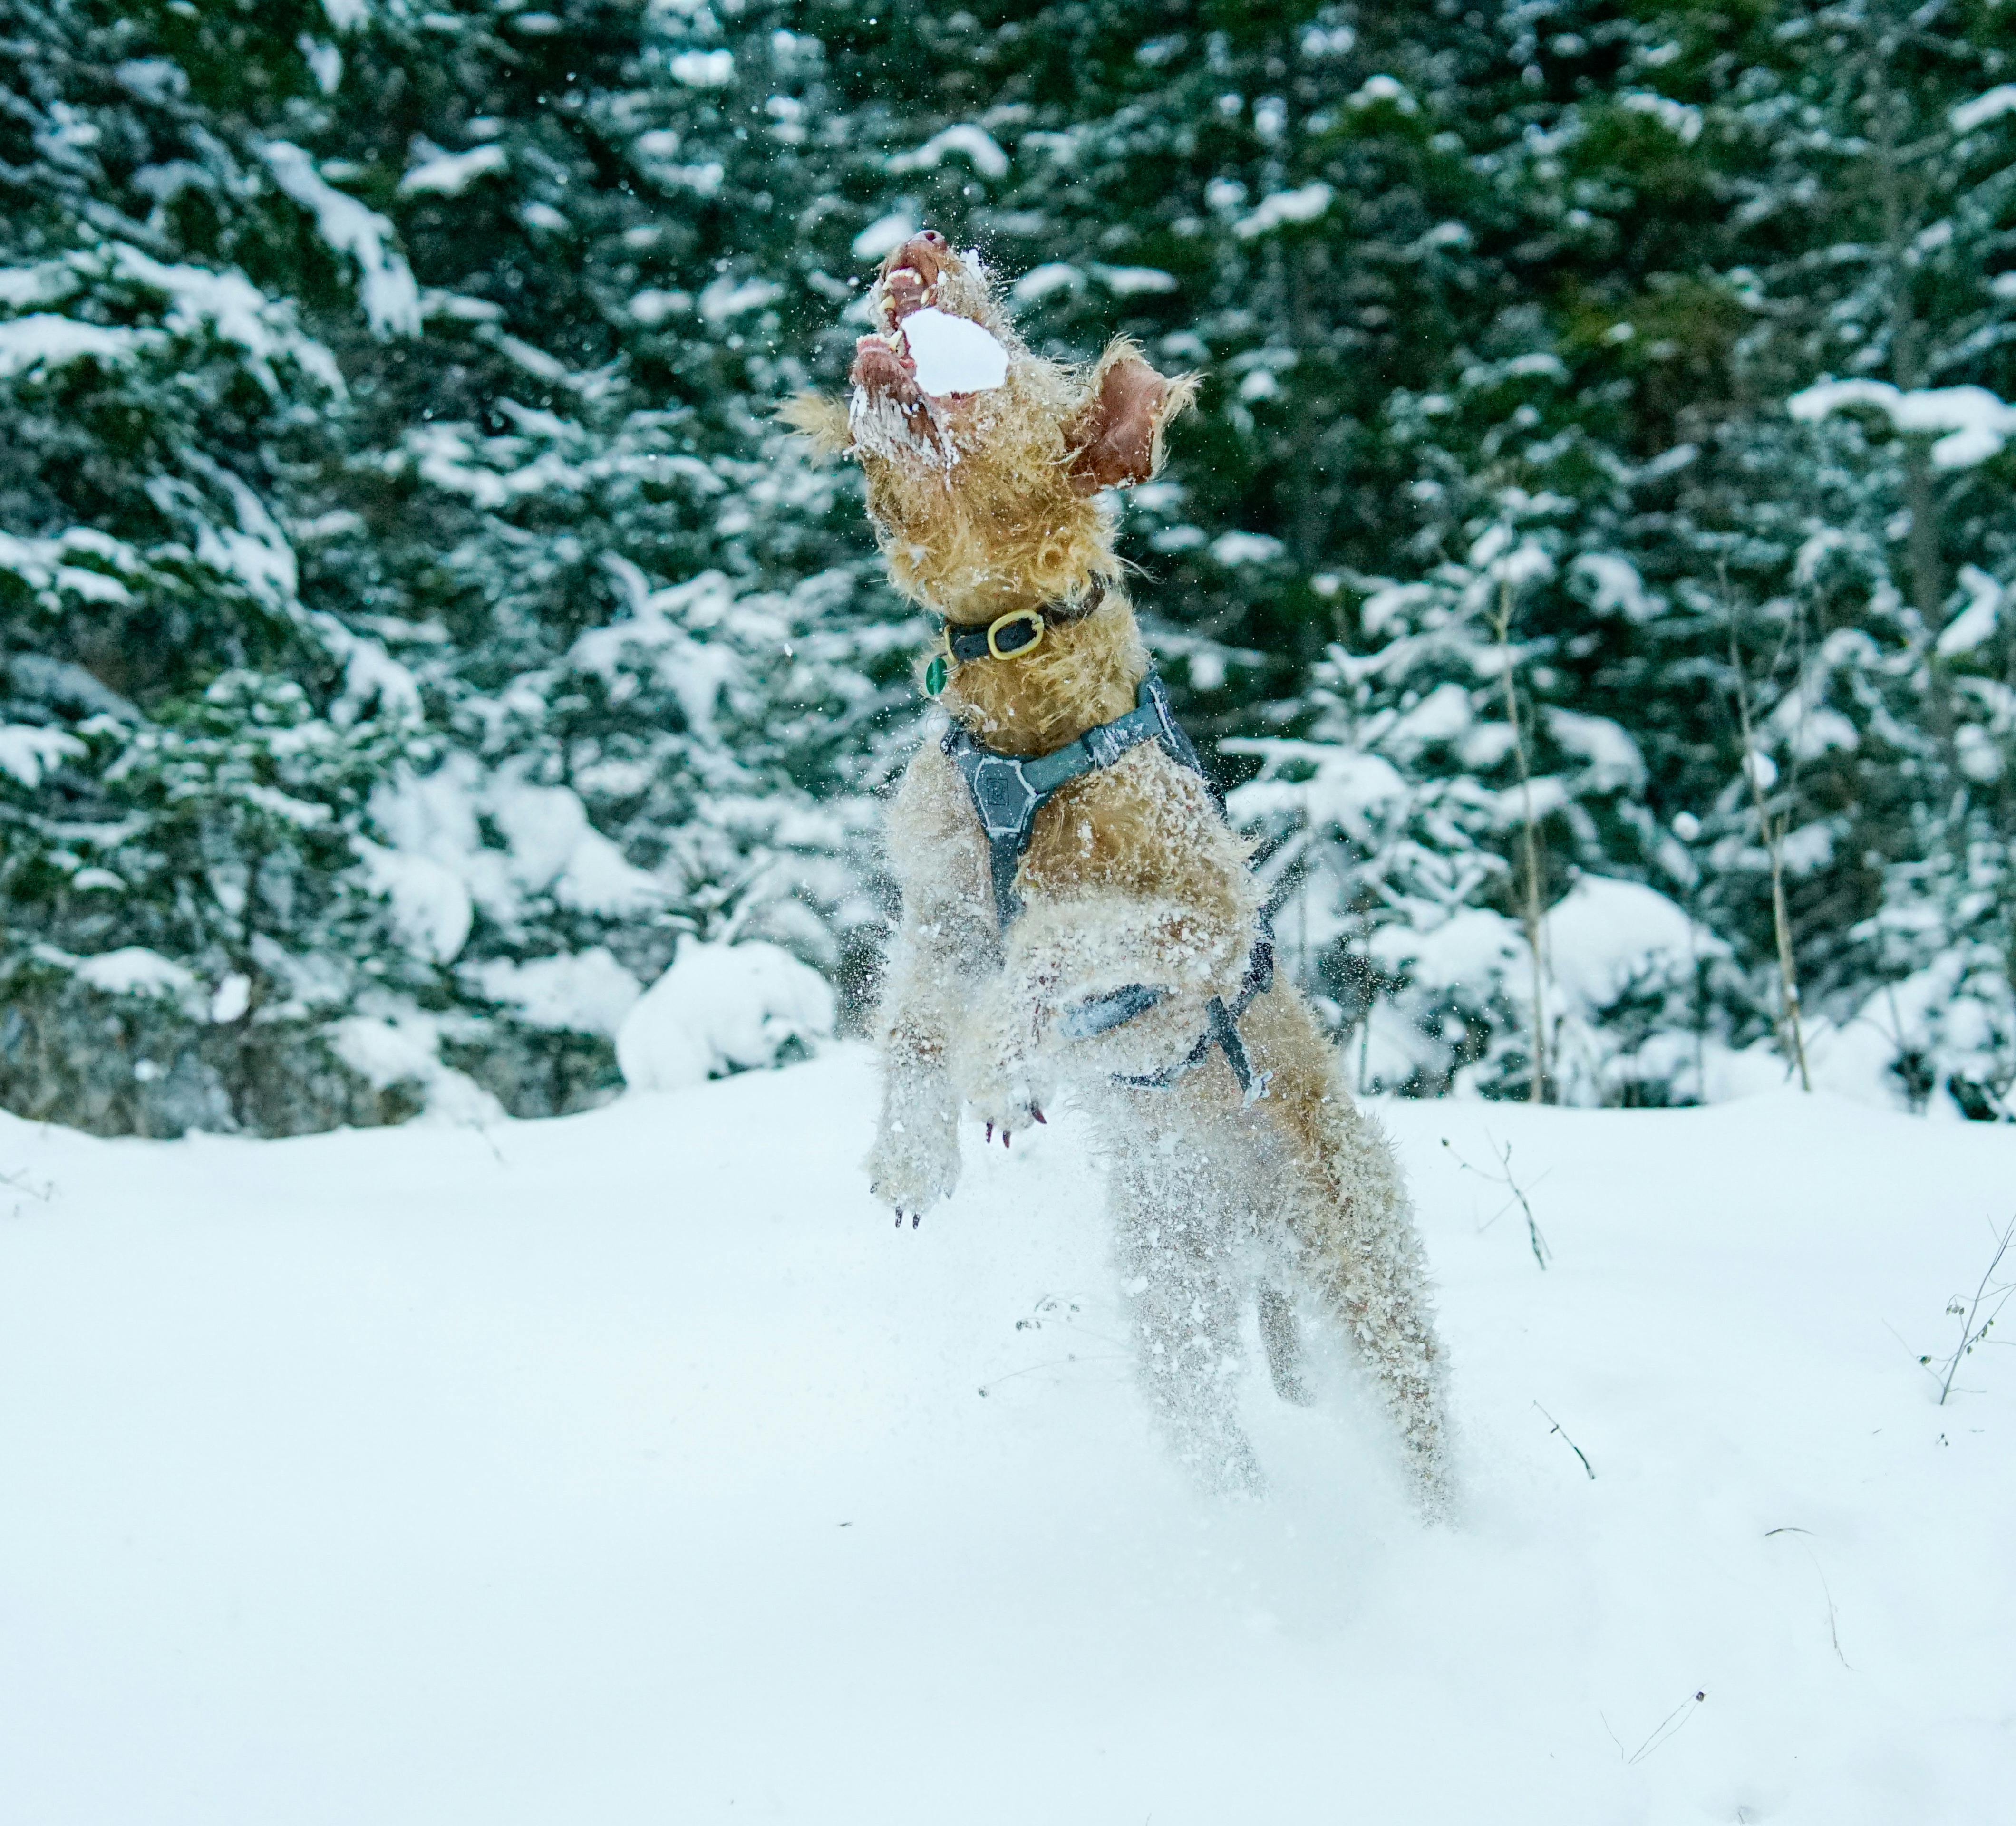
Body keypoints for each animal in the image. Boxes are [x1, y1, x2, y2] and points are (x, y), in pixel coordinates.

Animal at [782, 232, 1451, 1507]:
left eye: (1014, 343)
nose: (919, 247)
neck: (1022, 713)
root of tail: (1250, 1240)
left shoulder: (1199, 919)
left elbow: (1051, 940)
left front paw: (1002, 1073)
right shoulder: (943, 909)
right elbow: (915, 1027)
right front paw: (912, 1155)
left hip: (1368, 1292)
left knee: (1420, 1436)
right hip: (1172, 1304)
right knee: (1210, 1434)